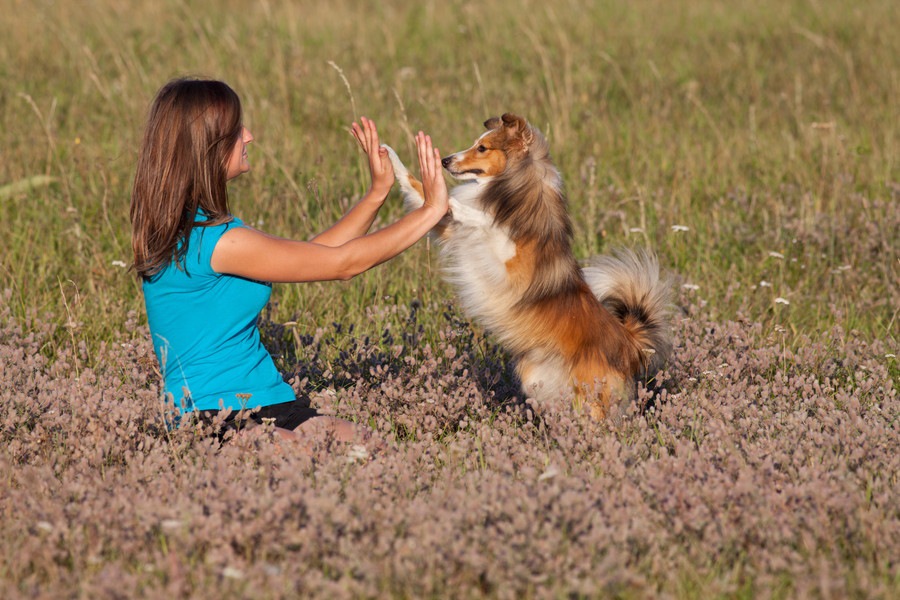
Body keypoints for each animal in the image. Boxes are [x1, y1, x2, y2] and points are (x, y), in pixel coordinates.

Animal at [384, 115, 672, 420]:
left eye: (482, 148)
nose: (445, 161)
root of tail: (629, 340)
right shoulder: (452, 230)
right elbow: (421, 191)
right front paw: (391, 157)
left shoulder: (510, 267)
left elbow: (486, 222)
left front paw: (454, 201)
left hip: (591, 399)